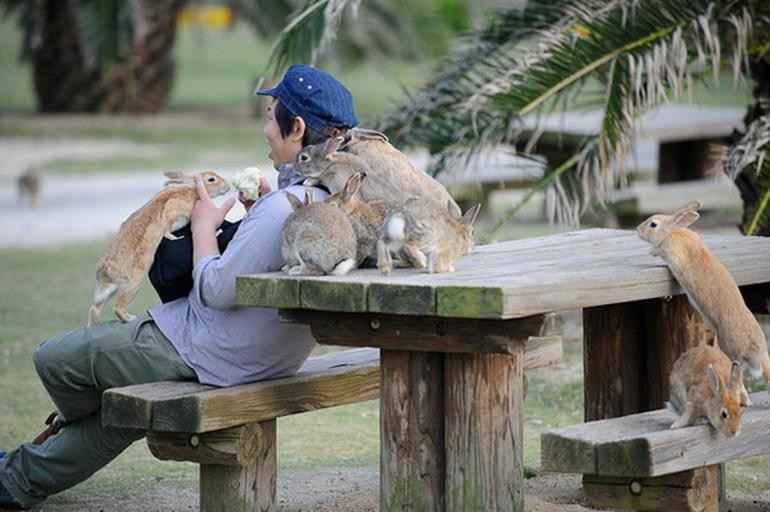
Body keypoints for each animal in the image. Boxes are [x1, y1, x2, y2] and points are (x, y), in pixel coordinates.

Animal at [88, 171, 230, 324]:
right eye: (211, 179)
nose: (227, 186)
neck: (194, 191)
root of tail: (105, 273)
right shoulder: (173, 210)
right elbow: (166, 228)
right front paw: (176, 238)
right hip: (134, 283)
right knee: (118, 307)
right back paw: (130, 318)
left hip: (107, 291)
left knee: (95, 306)